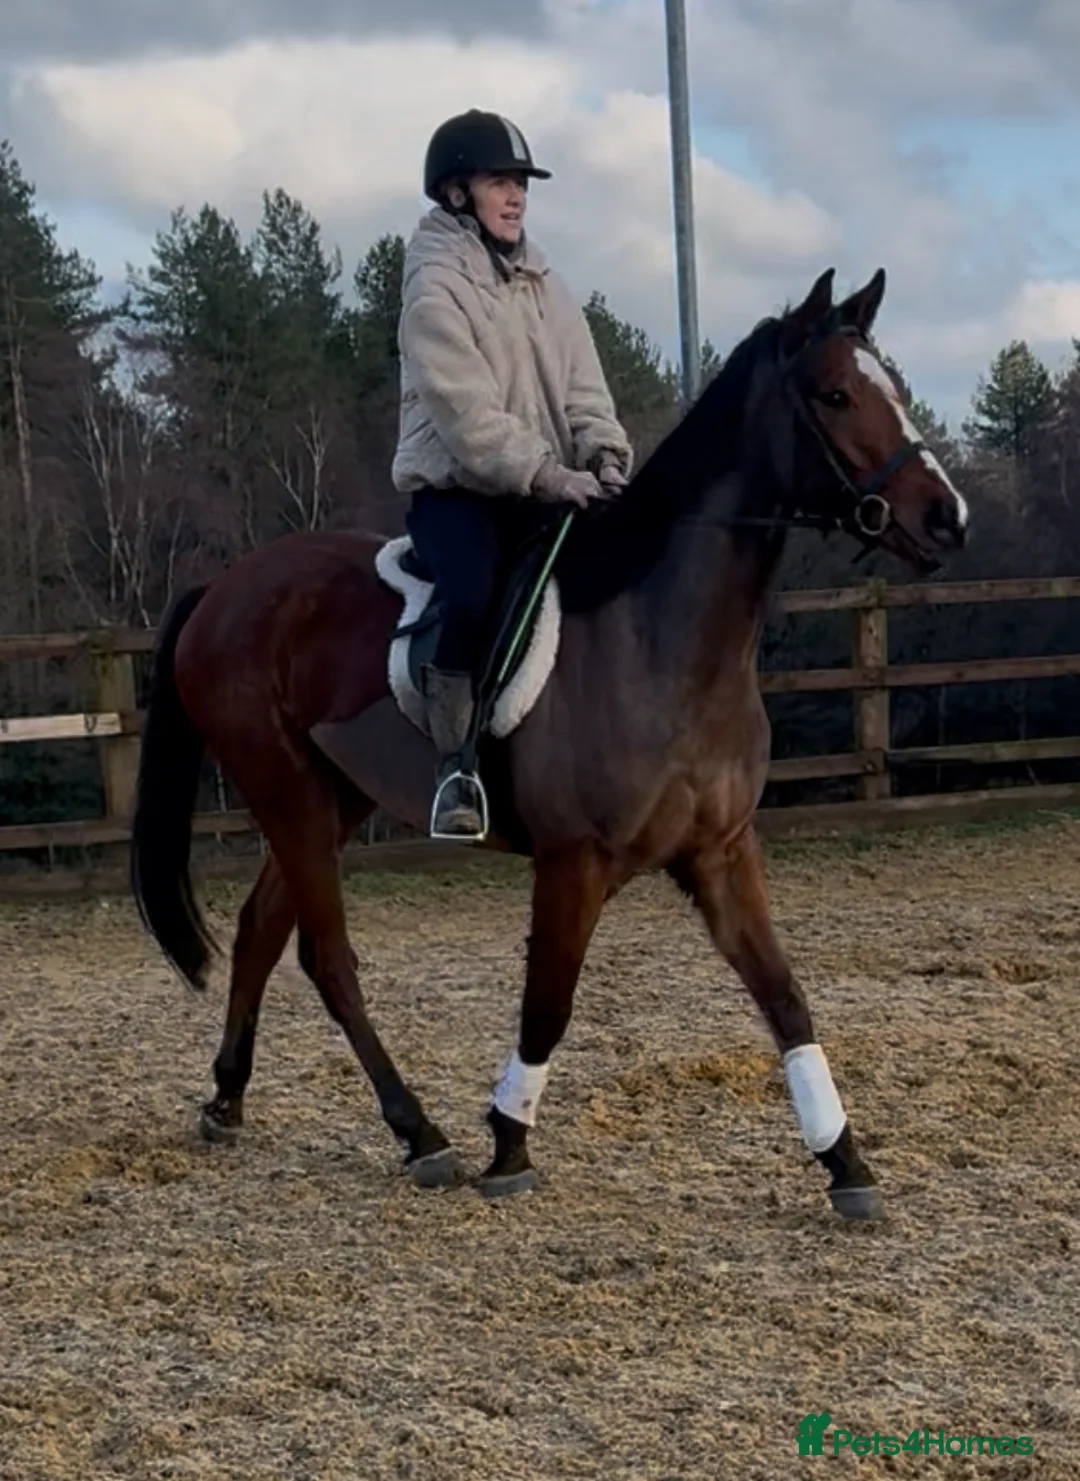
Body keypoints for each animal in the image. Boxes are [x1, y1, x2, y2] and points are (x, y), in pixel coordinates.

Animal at [130, 266, 968, 1221]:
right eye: (834, 394)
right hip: (288, 792)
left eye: (890, 386)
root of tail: (224, 588)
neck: (660, 635)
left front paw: (844, 1160)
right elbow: (548, 1004)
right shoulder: (575, 863)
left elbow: (785, 997)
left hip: (329, 796)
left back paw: (228, 1098)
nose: (947, 518)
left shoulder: (721, 852)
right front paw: (507, 1142)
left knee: (262, 928)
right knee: (326, 956)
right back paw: (419, 1131)